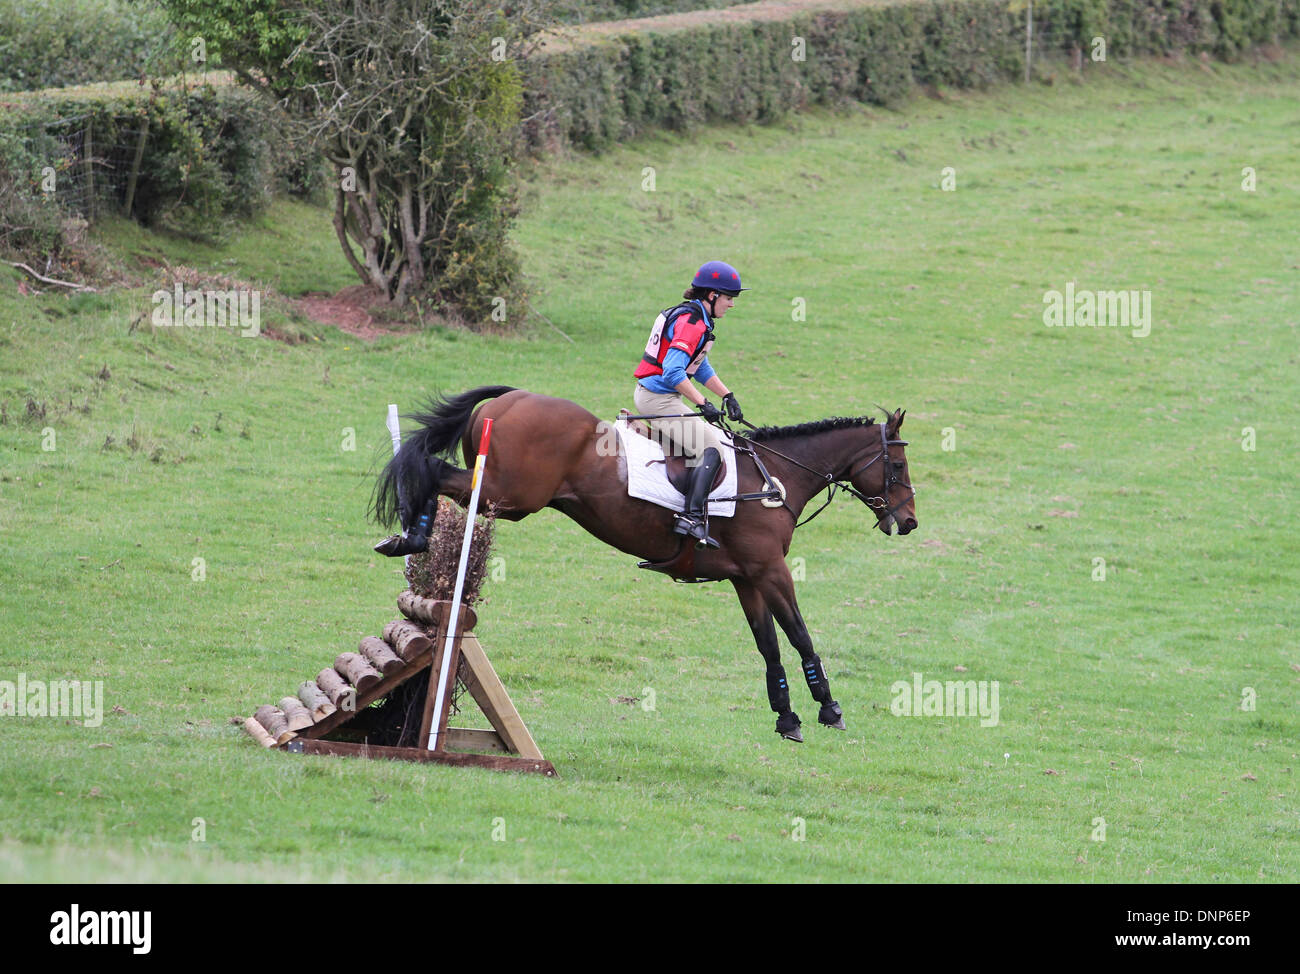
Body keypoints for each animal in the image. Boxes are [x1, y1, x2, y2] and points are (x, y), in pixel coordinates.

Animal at [373, 385, 917, 742]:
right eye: (897, 466)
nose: (909, 522)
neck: (777, 476)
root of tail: (512, 398)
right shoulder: (771, 572)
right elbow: (800, 635)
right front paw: (829, 707)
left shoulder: (746, 579)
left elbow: (768, 646)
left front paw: (786, 717)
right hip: (507, 494)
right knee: (433, 469)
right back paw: (412, 533)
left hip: (499, 493)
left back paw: (409, 537)